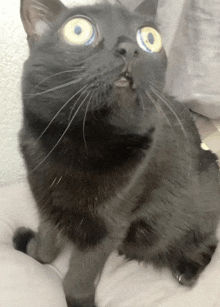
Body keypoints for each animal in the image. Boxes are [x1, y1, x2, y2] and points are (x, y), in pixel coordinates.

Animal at [14, 0, 220, 307]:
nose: (129, 48)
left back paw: (187, 271)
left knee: (206, 239)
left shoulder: (107, 229)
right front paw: (32, 250)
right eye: (78, 30)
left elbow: (76, 279)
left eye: (149, 38)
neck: (79, 142)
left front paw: (81, 302)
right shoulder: (47, 204)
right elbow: (47, 244)